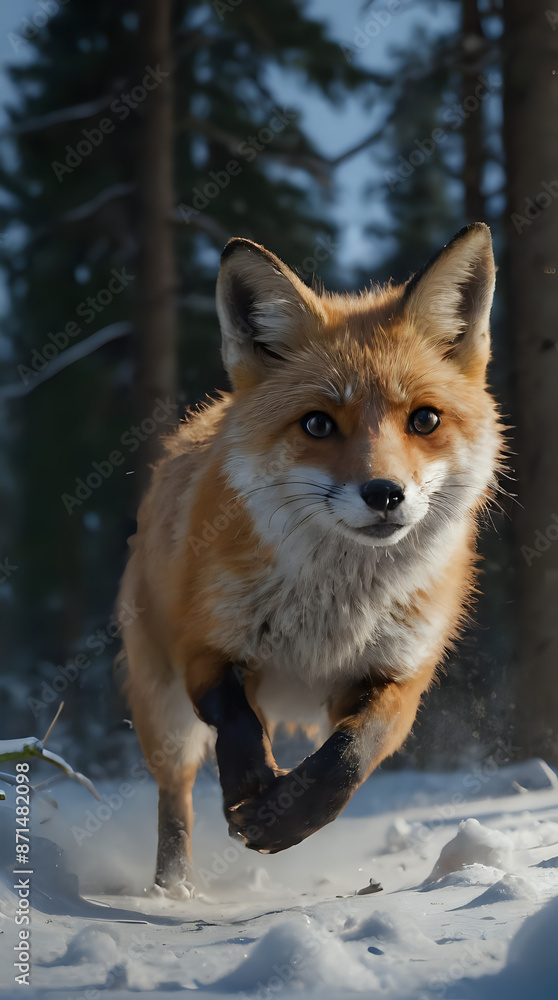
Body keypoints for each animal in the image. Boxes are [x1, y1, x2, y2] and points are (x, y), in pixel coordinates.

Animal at [118, 222, 502, 897]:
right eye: (318, 425)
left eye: (425, 419)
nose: (385, 493)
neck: (333, 612)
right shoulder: (205, 647)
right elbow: (238, 722)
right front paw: (253, 790)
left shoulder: (398, 676)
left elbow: (346, 759)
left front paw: (283, 816)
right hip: (164, 714)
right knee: (176, 798)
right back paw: (174, 889)